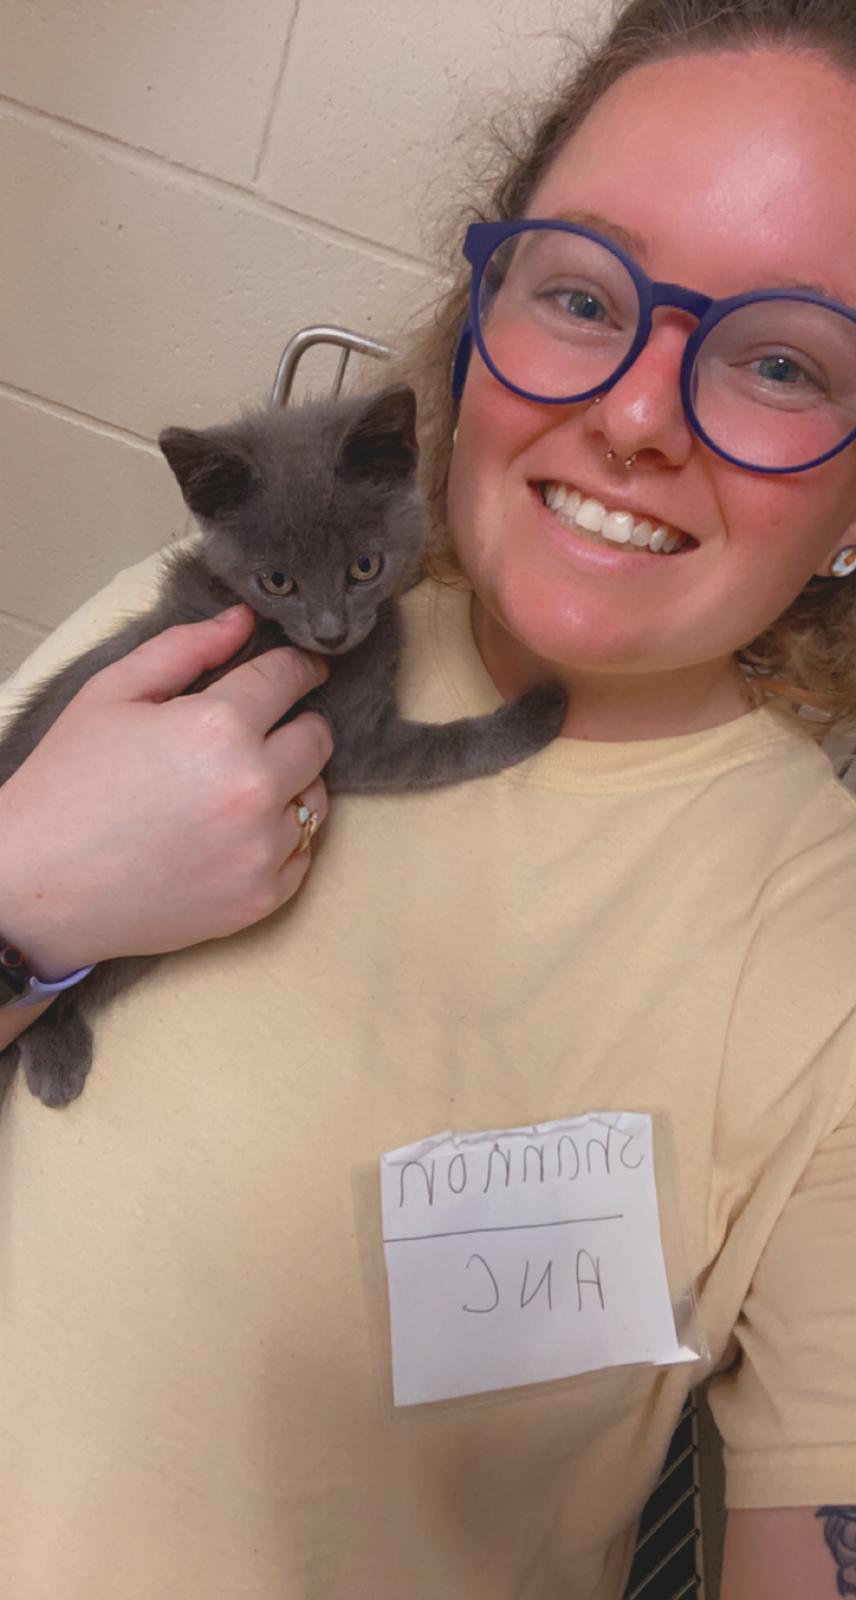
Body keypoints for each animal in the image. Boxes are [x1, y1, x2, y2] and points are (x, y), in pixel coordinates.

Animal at [0, 382, 566, 1109]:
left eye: (363, 565)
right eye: (278, 583)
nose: (330, 633)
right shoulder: (354, 741)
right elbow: (448, 749)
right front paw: (540, 710)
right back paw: (57, 1057)